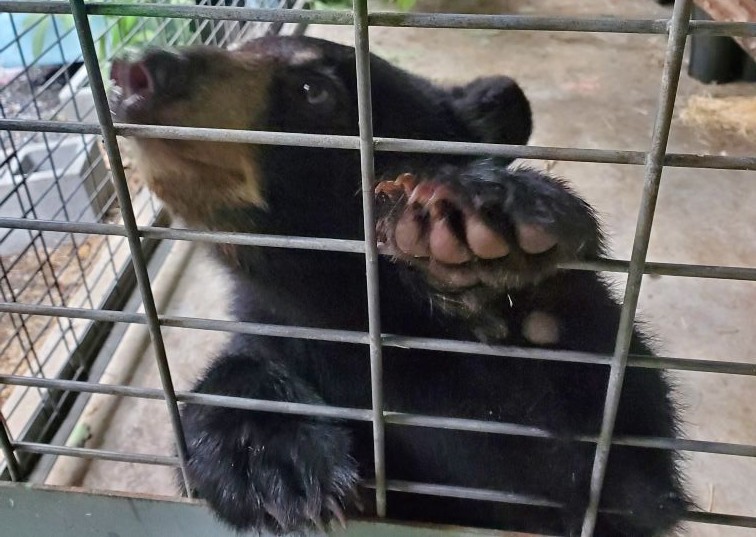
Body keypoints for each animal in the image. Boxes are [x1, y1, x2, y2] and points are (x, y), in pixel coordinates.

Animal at [109, 36, 690, 537]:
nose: (139, 72)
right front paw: (266, 451)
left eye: (313, 90)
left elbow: (619, 479)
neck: (339, 310)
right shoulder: (278, 329)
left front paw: (500, 248)